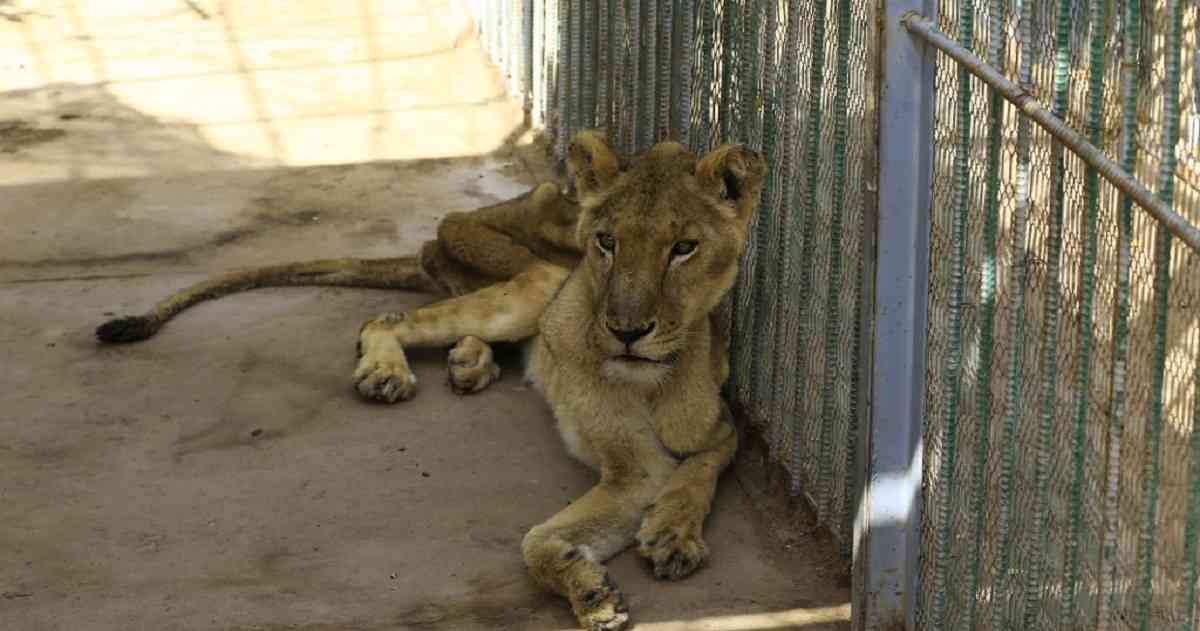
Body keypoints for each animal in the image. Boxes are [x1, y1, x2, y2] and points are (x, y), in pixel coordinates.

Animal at [96, 131, 768, 628]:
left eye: (683, 248)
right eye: (607, 242)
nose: (627, 330)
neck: (651, 378)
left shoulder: (720, 431)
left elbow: (699, 473)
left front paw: (672, 534)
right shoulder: (632, 469)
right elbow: (536, 543)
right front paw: (593, 593)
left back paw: (471, 363)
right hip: (540, 280)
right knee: (386, 318)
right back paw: (388, 370)